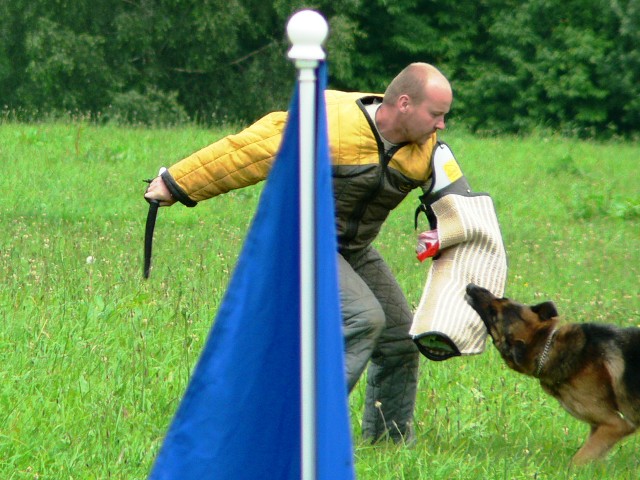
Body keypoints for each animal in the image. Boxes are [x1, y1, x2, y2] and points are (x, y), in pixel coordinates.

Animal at [464, 284, 640, 464]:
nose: (471, 286)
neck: (548, 346)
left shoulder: (616, 424)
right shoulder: (599, 426)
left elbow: (577, 460)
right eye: (502, 299)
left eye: (493, 314)